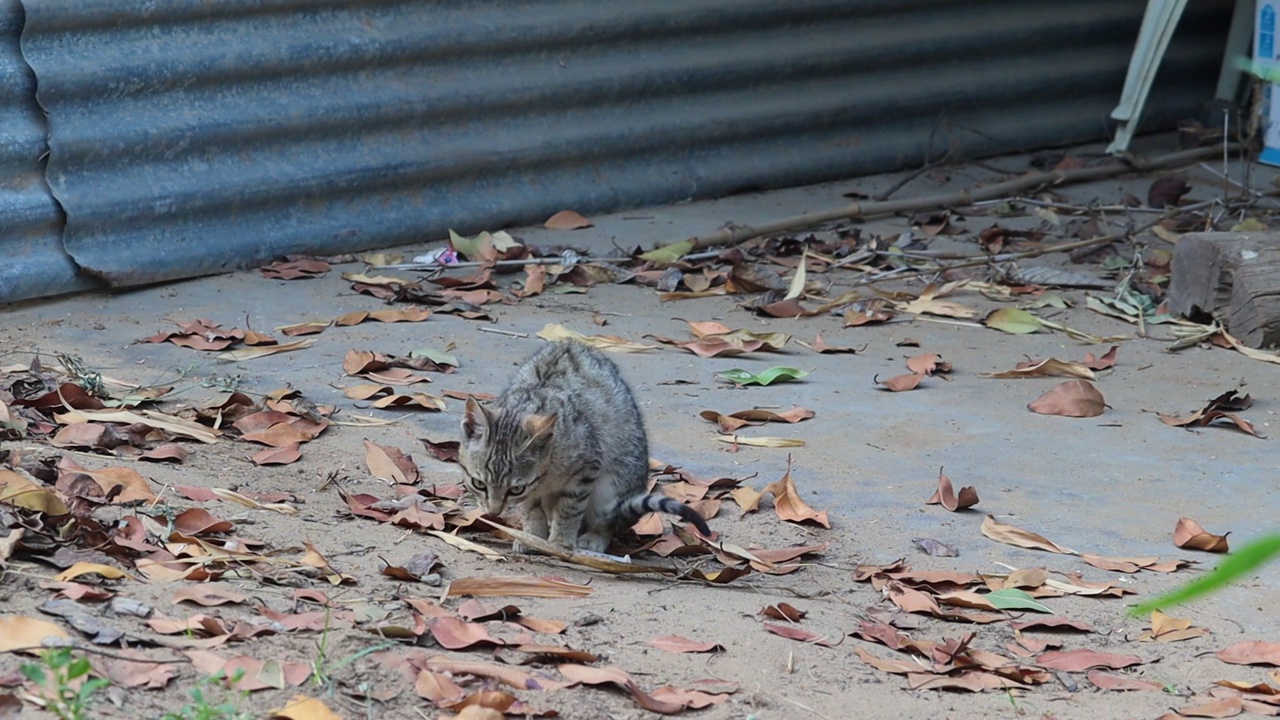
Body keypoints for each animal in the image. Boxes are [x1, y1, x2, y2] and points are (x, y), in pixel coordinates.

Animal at [460, 338, 711, 550]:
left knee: (606, 522)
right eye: (478, 484)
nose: (493, 512)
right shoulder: (533, 492)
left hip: (612, 487)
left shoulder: (587, 467)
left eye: (515, 489)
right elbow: (531, 509)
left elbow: (569, 509)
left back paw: (593, 538)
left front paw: (560, 541)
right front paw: (533, 536)